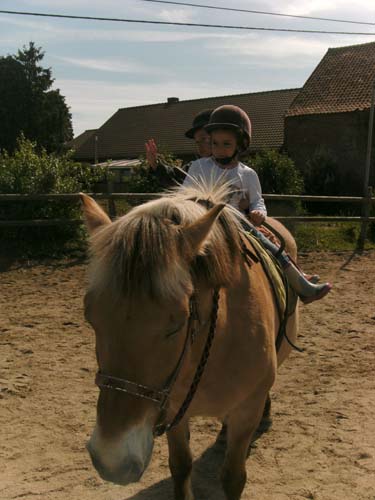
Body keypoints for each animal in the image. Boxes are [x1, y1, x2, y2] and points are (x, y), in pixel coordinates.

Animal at [81, 181, 298, 500]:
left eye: (178, 323)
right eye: (90, 316)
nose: (111, 461)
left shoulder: (246, 412)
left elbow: (233, 477)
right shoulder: (172, 407)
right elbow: (181, 466)